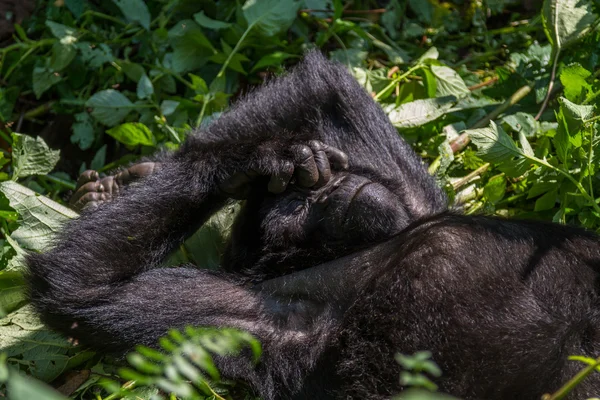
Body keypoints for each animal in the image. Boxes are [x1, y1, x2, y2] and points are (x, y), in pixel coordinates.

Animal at [25, 53, 596, 400]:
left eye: (306, 193)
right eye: (298, 210)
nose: (326, 191)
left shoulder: (413, 199)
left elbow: (325, 86)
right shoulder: (266, 312)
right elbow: (82, 290)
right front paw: (252, 161)